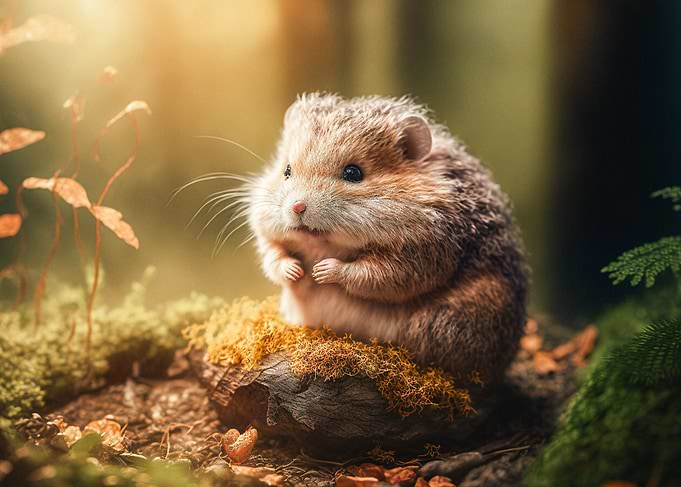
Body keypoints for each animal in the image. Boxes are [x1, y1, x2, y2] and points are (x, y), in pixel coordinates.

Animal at [247, 93, 528, 383]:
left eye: (353, 173)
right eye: (287, 170)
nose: (297, 207)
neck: (323, 246)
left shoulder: (420, 257)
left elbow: (372, 274)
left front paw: (323, 271)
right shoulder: (266, 231)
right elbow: (273, 256)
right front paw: (296, 272)